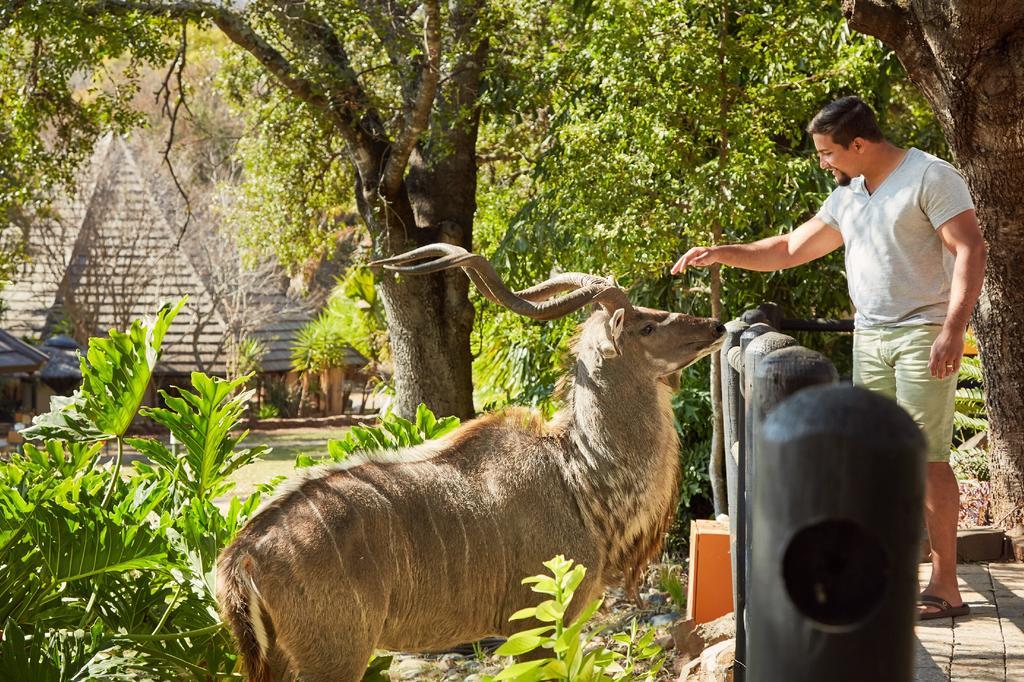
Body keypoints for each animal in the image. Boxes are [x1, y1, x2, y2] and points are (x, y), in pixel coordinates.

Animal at [219, 244, 724, 679]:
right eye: (646, 327)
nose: (717, 328)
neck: (577, 478)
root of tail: (244, 555)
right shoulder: (535, 623)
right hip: (336, 657)